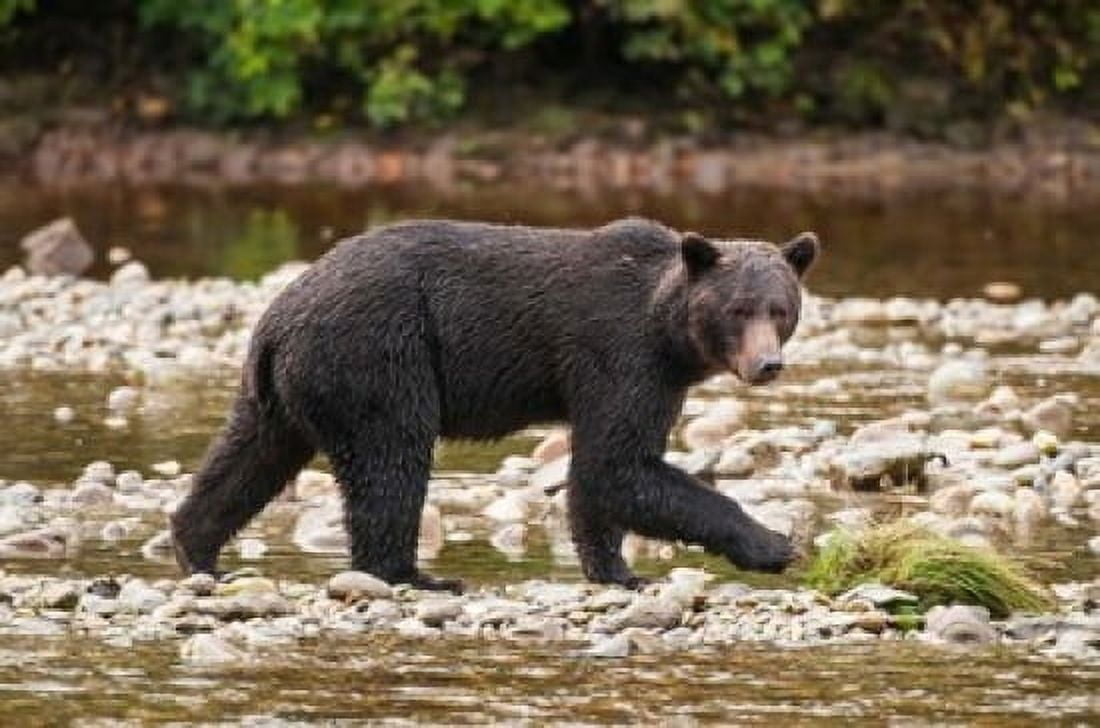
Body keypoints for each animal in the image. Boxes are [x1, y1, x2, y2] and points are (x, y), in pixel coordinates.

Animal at [171, 217, 819, 592]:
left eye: (781, 309)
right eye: (738, 309)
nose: (767, 365)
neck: (669, 334)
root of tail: (277, 320)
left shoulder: (643, 377)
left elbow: (602, 473)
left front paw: (617, 570)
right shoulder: (618, 353)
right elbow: (619, 464)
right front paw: (774, 544)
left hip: (283, 389)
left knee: (250, 456)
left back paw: (197, 548)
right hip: (378, 356)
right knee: (391, 462)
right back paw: (414, 575)